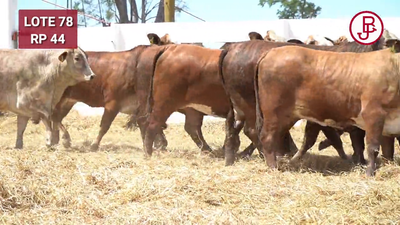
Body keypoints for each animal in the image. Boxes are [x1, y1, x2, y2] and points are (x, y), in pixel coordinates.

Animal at [255, 44, 400, 177]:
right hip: (275, 113)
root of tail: (271, 51)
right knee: (267, 137)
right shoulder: (374, 114)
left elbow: (387, 149)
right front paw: (370, 172)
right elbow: (373, 147)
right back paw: (273, 167)